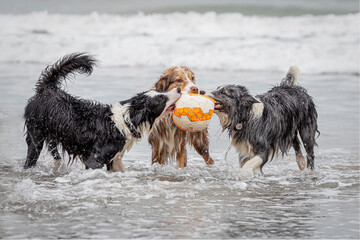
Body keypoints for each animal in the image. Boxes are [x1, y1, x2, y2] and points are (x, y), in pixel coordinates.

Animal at [23, 53, 180, 172]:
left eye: (160, 91)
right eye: (161, 98)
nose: (178, 89)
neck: (124, 122)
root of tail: (47, 89)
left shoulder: (115, 160)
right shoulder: (94, 161)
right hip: (35, 136)